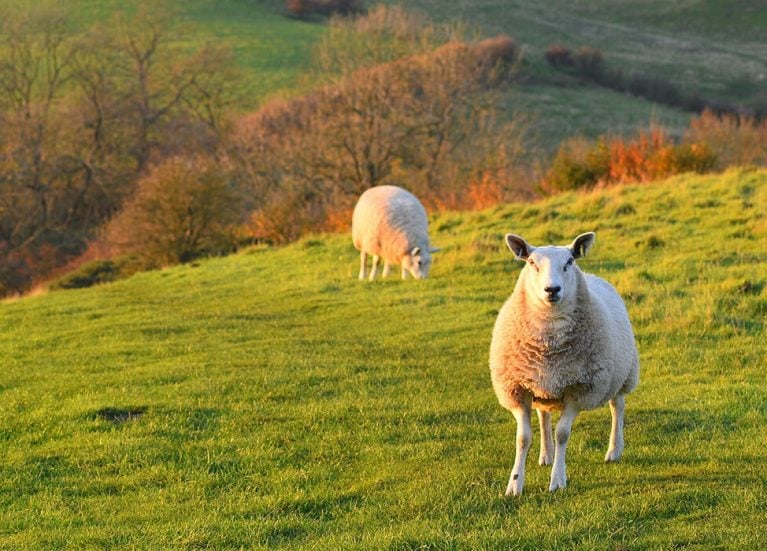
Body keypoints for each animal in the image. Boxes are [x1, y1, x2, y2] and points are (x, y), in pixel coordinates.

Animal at [488, 233, 640, 496]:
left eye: (569, 261)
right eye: (531, 263)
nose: (552, 289)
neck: (549, 343)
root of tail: (593, 275)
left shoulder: (579, 389)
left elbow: (562, 434)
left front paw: (558, 479)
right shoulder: (518, 388)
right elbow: (523, 438)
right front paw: (515, 484)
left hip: (622, 374)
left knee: (617, 408)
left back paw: (614, 450)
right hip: (542, 386)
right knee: (543, 414)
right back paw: (546, 454)